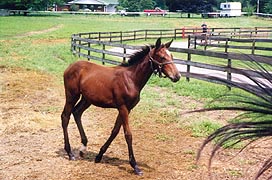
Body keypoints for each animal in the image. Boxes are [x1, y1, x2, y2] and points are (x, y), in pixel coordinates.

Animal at [60, 37, 182, 174]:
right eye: (162, 57)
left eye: (171, 55)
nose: (177, 76)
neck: (131, 79)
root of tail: (69, 67)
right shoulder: (123, 107)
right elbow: (128, 134)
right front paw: (135, 166)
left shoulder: (127, 109)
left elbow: (115, 131)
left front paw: (99, 156)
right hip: (72, 96)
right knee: (65, 116)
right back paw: (70, 153)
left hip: (86, 99)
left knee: (77, 113)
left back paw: (83, 148)